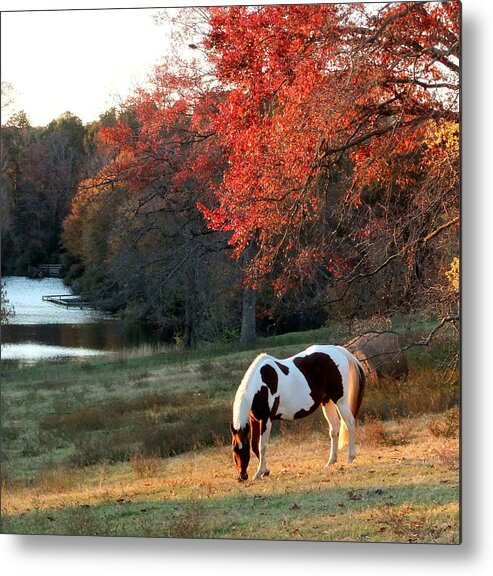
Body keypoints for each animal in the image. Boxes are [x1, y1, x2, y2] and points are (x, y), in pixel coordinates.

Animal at [231, 346, 366, 482]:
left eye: (244, 450)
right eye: (234, 450)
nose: (242, 476)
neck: (261, 385)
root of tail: (338, 349)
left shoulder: (266, 419)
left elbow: (261, 446)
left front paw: (259, 472)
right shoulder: (254, 419)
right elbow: (255, 445)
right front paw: (265, 471)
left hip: (340, 400)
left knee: (349, 423)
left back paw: (350, 457)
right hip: (327, 401)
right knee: (334, 429)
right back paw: (331, 461)